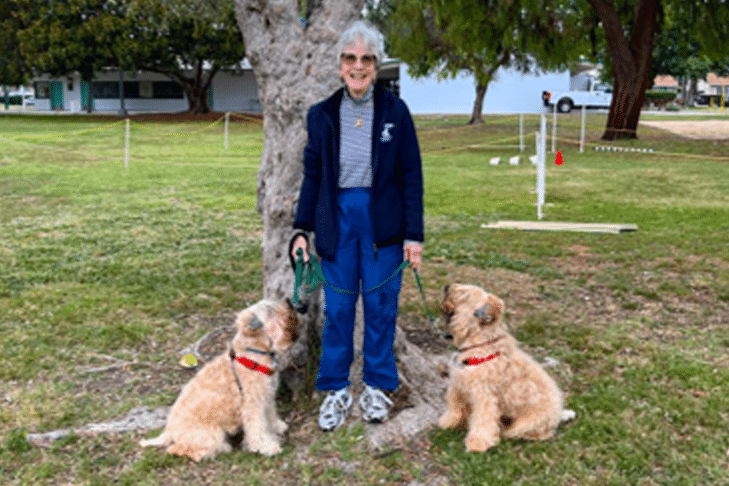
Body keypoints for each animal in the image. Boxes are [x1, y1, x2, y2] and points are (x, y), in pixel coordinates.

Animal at [141, 298, 300, 462]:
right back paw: (219, 449)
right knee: (179, 449)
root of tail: (169, 430)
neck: (254, 353)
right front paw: (266, 447)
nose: (289, 301)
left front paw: (277, 426)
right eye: (269, 310)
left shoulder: (267, 397)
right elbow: (258, 428)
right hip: (210, 434)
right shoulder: (252, 405)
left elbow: (270, 415)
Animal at [436, 284, 572, 452]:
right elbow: (453, 404)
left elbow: (483, 419)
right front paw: (448, 422)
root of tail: (559, 414)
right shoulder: (458, 384)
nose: (447, 286)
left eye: (466, 294)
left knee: (537, 433)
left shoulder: (484, 395)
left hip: (529, 422)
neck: (479, 343)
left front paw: (478, 443)